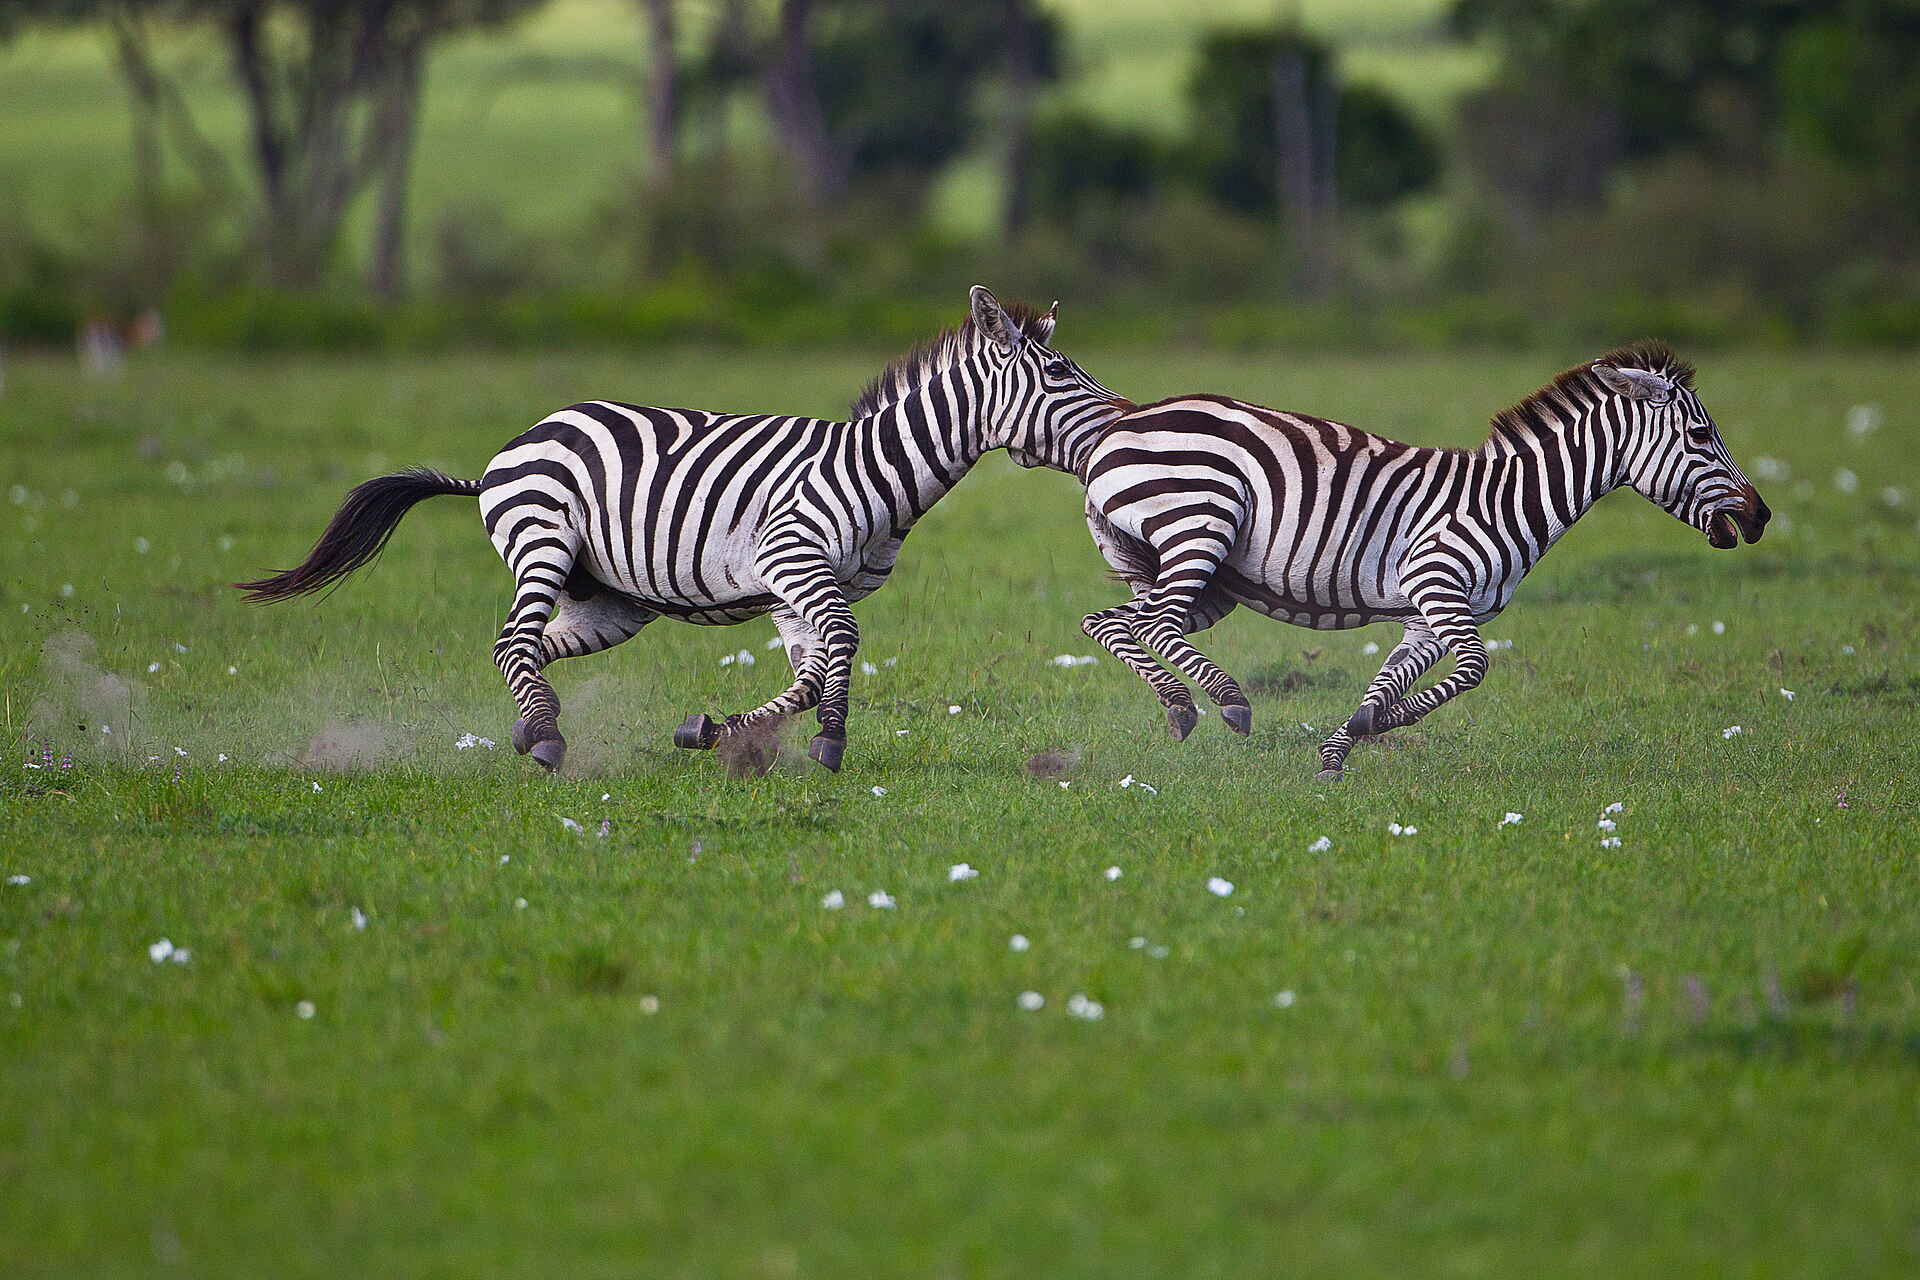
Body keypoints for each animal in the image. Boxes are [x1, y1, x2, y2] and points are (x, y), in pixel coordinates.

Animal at [238, 286, 1127, 774]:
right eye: (1059, 375)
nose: (1123, 420)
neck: (876, 471)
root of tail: (505, 453)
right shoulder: (794, 560)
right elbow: (841, 648)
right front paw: (831, 742)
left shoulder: (793, 590)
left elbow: (810, 674)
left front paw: (712, 731)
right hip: (542, 541)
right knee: (512, 640)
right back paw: (545, 737)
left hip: (611, 600)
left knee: (531, 648)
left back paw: (533, 726)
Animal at [1074, 343, 1771, 778]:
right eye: (1702, 437)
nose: (1761, 517)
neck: (1507, 501)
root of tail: (1120, 428)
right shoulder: (1436, 583)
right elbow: (1475, 671)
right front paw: (1373, 728)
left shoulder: (1426, 616)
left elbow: (1391, 681)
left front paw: (1343, 747)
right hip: (1200, 526)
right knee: (1154, 624)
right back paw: (1222, 701)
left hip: (1201, 571)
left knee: (1109, 623)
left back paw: (1180, 706)